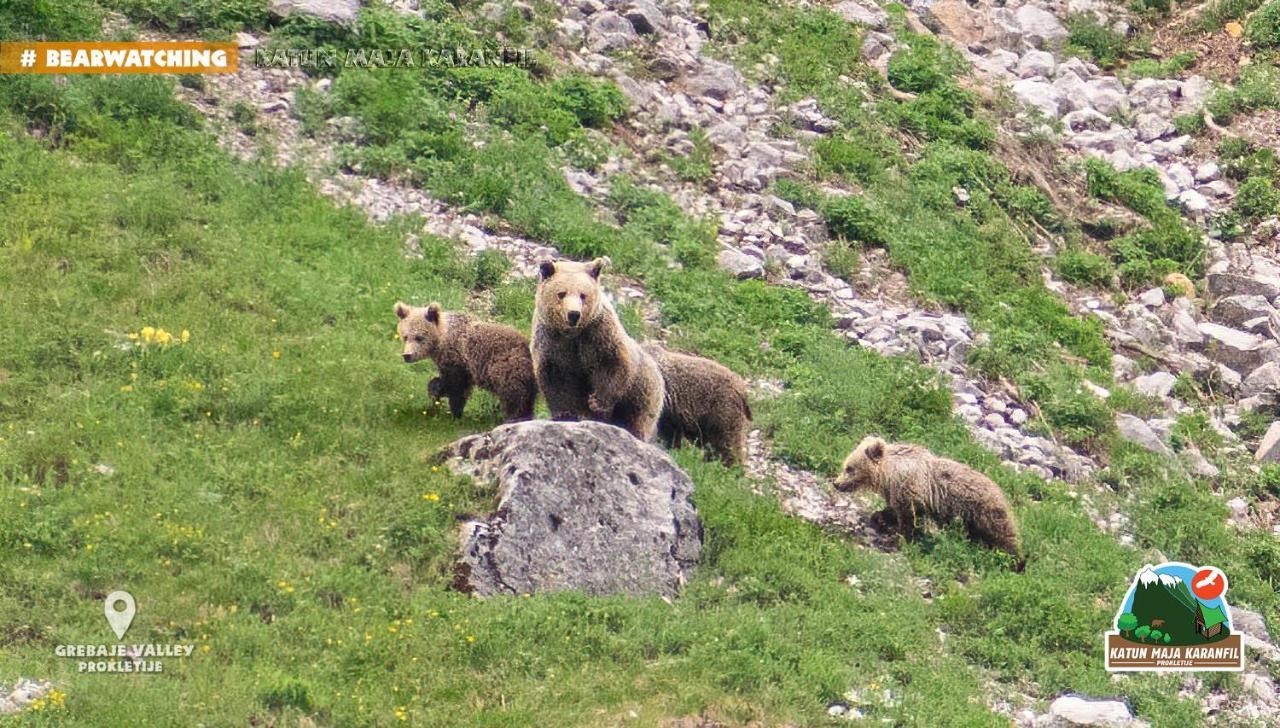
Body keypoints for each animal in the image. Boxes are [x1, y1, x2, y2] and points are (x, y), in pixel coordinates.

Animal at [394, 299, 535, 419]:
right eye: (405, 337)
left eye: (419, 337)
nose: (407, 355)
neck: (442, 339)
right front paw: (435, 392)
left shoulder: (458, 360)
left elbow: (456, 387)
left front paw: (455, 412)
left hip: (507, 364)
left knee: (514, 392)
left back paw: (514, 416)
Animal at [532, 257, 665, 437]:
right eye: (561, 293)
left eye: (583, 295)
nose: (573, 314)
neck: (572, 334)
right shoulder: (551, 342)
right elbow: (555, 377)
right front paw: (565, 413)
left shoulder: (597, 334)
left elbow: (611, 364)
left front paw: (597, 402)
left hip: (643, 389)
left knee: (637, 415)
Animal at [834, 435, 1024, 570]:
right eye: (845, 465)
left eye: (849, 468)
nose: (836, 483)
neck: (889, 474)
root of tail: (1002, 491)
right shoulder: (896, 491)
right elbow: (894, 509)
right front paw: (879, 517)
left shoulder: (911, 490)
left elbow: (908, 517)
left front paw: (900, 537)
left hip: (984, 510)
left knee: (1003, 534)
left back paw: (1017, 562)